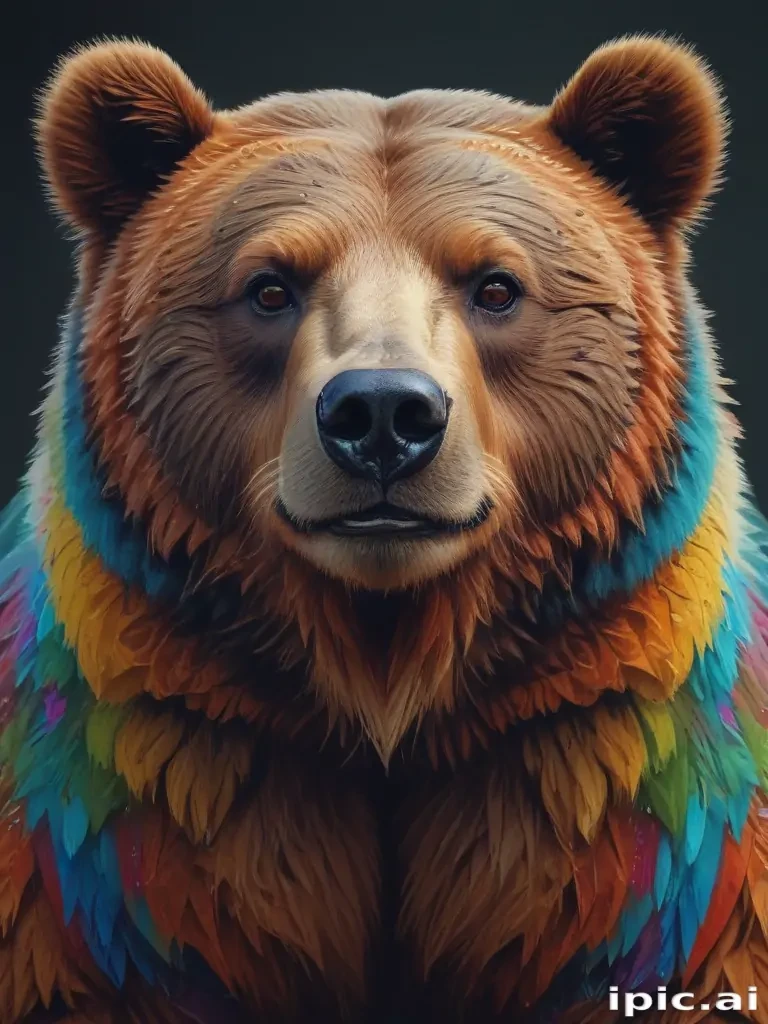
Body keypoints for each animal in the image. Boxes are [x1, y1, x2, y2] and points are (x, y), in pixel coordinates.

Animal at [0, 30, 767, 1024]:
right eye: (269, 288)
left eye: (496, 285)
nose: (381, 415)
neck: (390, 676)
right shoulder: (145, 803)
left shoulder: (615, 788)